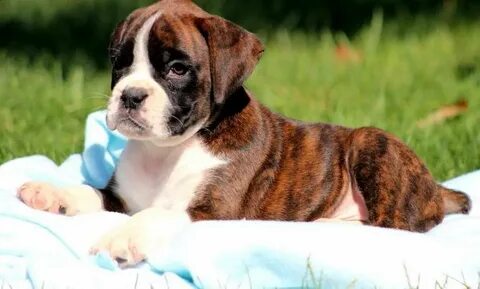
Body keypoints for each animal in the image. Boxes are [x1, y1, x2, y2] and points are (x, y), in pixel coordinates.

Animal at [17, 0, 468, 268]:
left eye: (177, 68)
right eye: (119, 63)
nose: (129, 95)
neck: (169, 150)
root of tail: (435, 189)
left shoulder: (214, 209)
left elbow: (157, 213)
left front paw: (123, 237)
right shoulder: (122, 198)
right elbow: (90, 191)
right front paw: (49, 192)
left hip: (371, 143)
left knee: (394, 227)